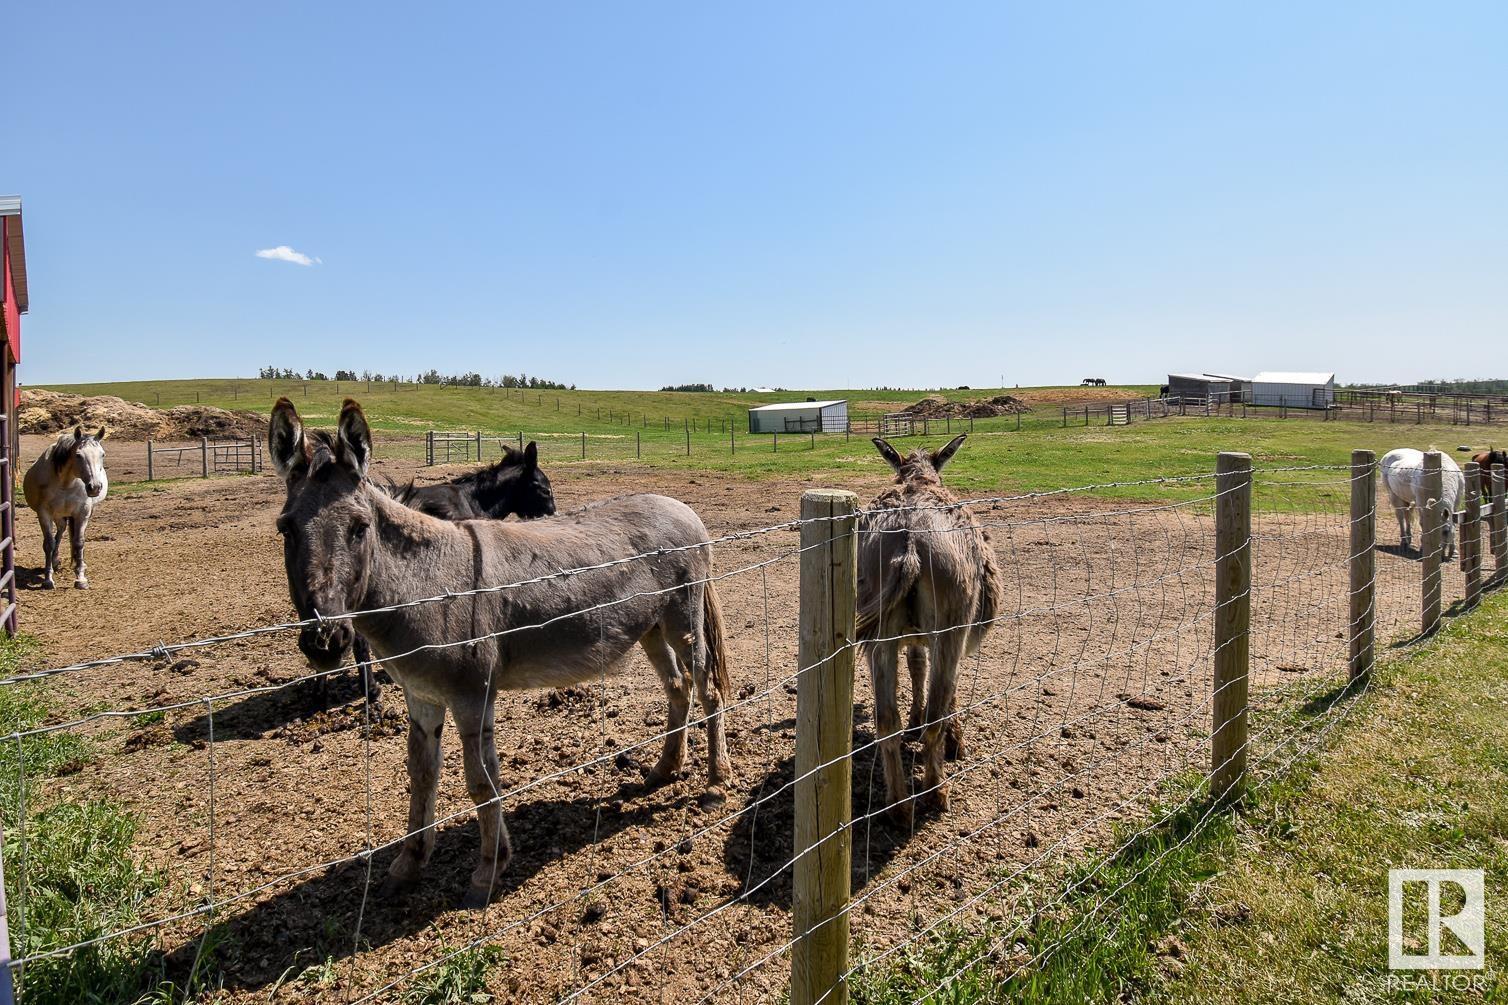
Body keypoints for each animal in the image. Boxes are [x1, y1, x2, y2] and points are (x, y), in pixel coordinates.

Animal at [22, 422, 110, 588]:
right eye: (78, 455)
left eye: (102, 454)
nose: (95, 487)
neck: (66, 483)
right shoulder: (44, 513)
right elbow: (49, 543)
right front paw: (48, 579)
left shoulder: (82, 513)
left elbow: (79, 542)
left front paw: (81, 578)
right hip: (59, 515)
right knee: (60, 532)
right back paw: (55, 561)